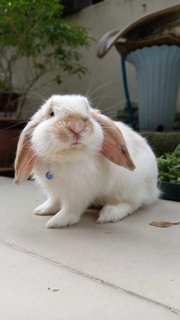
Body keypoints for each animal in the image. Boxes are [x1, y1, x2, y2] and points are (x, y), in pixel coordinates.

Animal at [14, 94, 160, 229]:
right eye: (51, 113)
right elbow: (53, 202)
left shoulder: (78, 192)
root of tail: (153, 191)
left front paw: (56, 222)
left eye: (87, 110)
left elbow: (70, 210)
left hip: (127, 189)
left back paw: (109, 213)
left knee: (133, 203)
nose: (76, 126)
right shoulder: (55, 191)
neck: (67, 157)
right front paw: (42, 210)